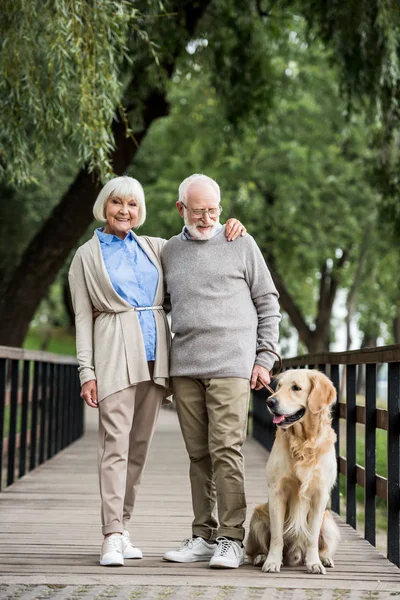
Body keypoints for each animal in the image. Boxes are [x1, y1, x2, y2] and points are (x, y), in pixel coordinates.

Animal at [247, 368, 340, 576]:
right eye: (279, 386)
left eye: (296, 388)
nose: (270, 401)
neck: (303, 442)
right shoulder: (277, 491)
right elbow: (276, 536)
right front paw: (272, 562)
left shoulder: (320, 494)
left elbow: (312, 536)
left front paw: (314, 563)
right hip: (258, 516)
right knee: (257, 546)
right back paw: (260, 557)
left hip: (329, 523)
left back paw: (325, 558)